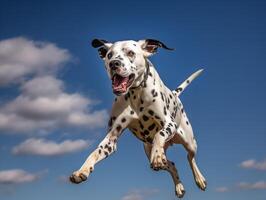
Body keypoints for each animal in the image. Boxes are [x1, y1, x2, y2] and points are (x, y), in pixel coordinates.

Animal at [69, 38, 207, 198]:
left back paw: (199, 179)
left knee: (190, 158)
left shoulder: (169, 124)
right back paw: (179, 187)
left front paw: (157, 154)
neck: (136, 93)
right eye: (109, 55)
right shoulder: (111, 139)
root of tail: (174, 94)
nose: (114, 64)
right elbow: (94, 153)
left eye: (130, 53)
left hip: (190, 142)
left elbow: (160, 134)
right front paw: (82, 170)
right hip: (149, 151)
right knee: (172, 165)